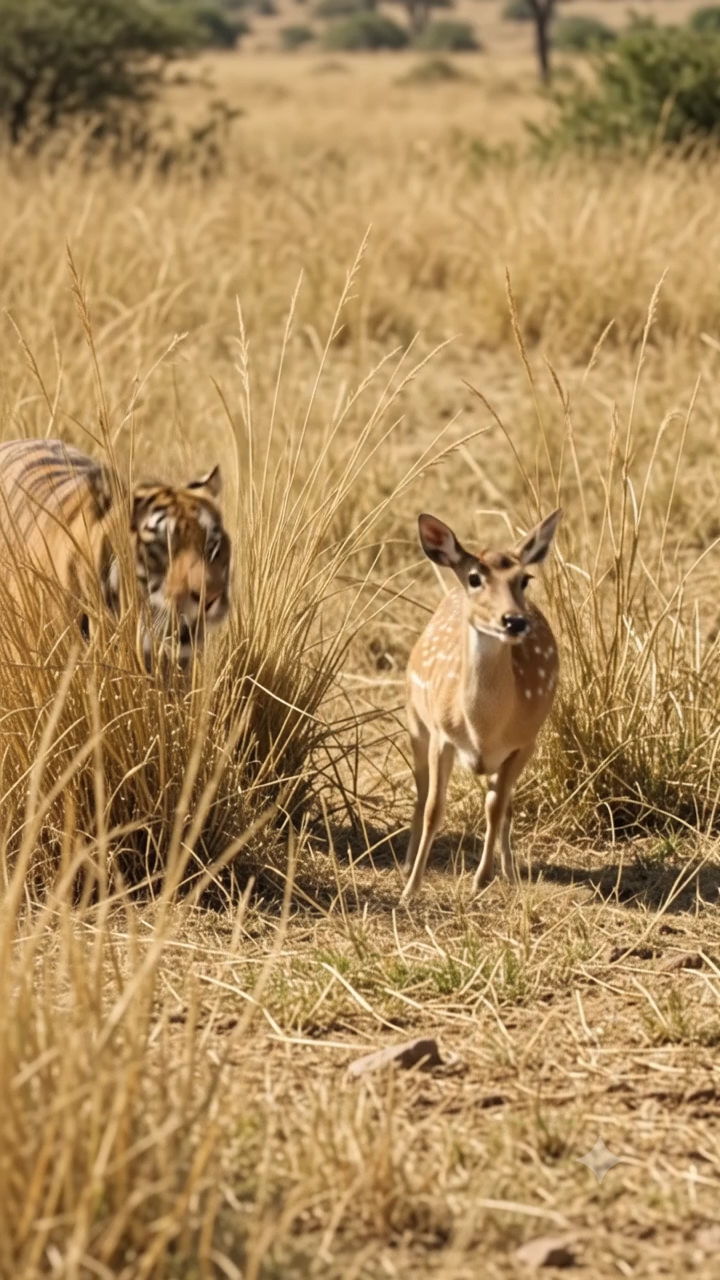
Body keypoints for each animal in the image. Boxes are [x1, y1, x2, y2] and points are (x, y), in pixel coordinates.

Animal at [401, 508, 562, 902]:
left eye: (525, 579)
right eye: (475, 577)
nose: (515, 620)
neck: (483, 728)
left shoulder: (524, 742)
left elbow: (496, 807)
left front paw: (484, 877)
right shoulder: (441, 736)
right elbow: (434, 808)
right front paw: (411, 890)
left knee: (504, 804)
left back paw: (511, 872)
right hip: (415, 723)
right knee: (421, 792)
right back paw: (408, 863)